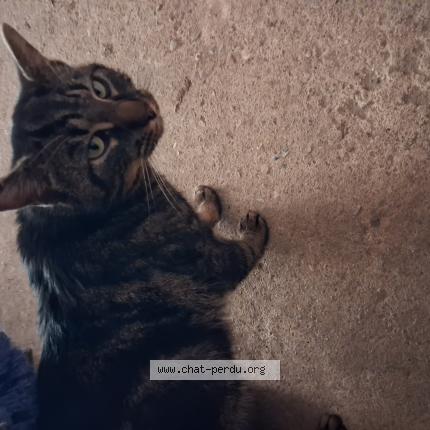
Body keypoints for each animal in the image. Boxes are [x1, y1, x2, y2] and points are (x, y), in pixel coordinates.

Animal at [0, 24, 347, 430]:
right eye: (95, 147)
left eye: (99, 88)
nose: (146, 112)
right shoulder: (209, 263)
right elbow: (243, 249)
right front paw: (249, 229)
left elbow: (200, 217)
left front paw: (206, 204)